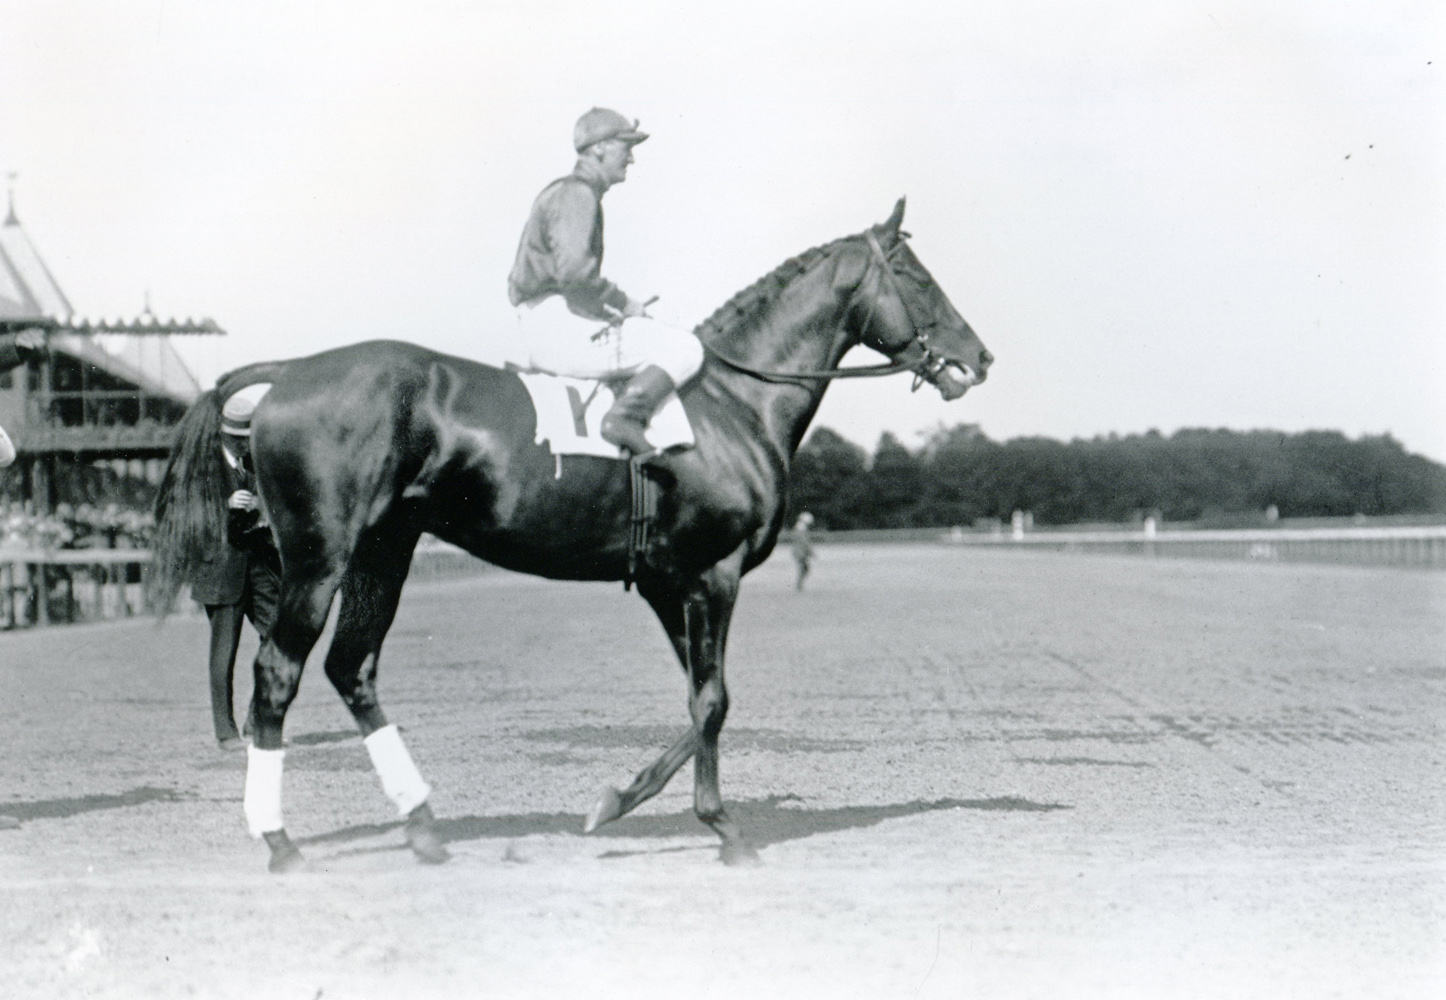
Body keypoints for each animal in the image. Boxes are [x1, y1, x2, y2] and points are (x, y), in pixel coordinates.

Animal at [155, 199, 994, 872]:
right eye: (916, 276)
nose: (979, 357)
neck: (732, 403)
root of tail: (289, 372)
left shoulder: (668, 582)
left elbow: (700, 699)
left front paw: (618, 799)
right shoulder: (712, 574)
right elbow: (713, 700)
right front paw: (722, 829)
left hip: (383, 553)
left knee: (351, 668)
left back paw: (423, 827)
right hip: (318, 558)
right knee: (277, 675)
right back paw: (281, 843)